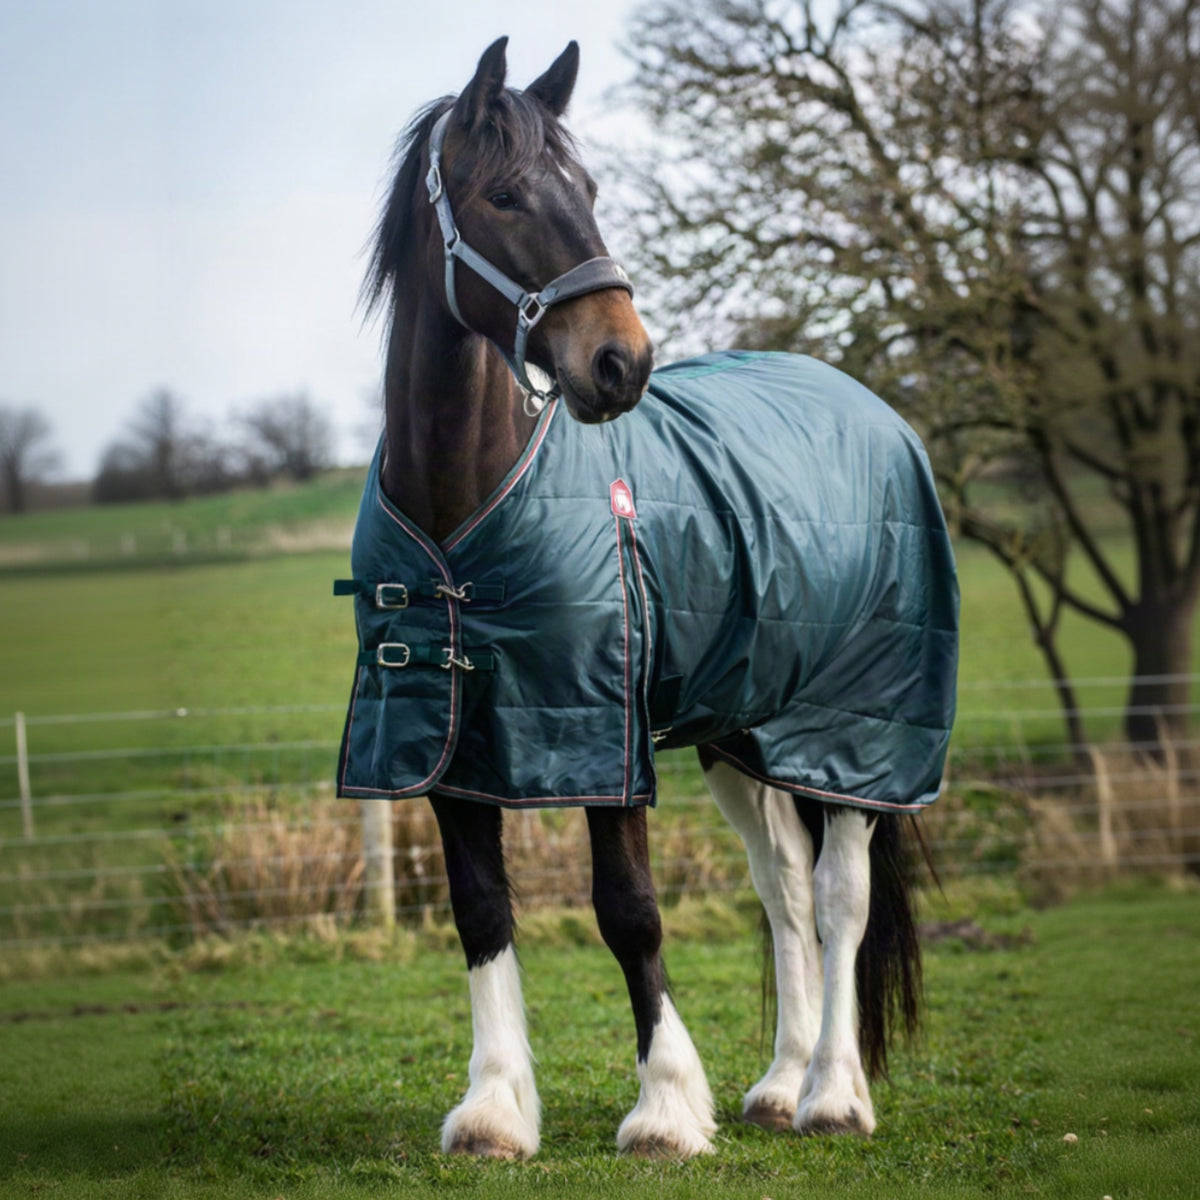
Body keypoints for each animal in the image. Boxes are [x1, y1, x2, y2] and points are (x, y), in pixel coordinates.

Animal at [335, 37, 958, 1159]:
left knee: (839, 898)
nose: (621, 361)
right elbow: (479, 909)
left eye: (587, 192)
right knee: (782, 891)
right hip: (740, 732)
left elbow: (629, 909)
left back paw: (835, 1095)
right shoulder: (448, 742)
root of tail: (874, 411)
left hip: (860, 736)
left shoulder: (605, 733)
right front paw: (495, 1109)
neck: (464, 502)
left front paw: (665, 1105)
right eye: (504, 195)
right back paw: (779, 1084)